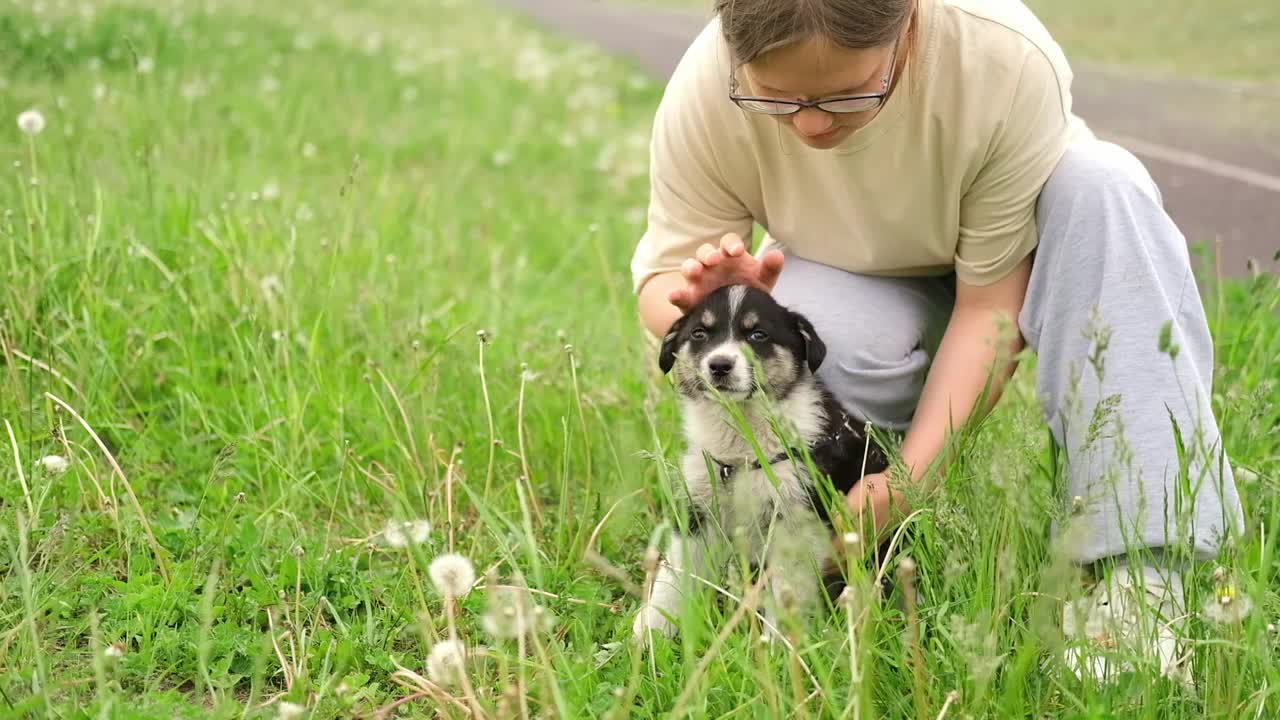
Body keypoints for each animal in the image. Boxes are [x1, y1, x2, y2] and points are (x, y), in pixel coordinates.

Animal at [634, 283, 896, 640]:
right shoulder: (699, 509)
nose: (719, 365)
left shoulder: (797, 522)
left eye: (758, 335)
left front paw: (778, 645)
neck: (742, 446)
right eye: (699, 333)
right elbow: (673, 574)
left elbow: (787, 592)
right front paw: (650, 630)